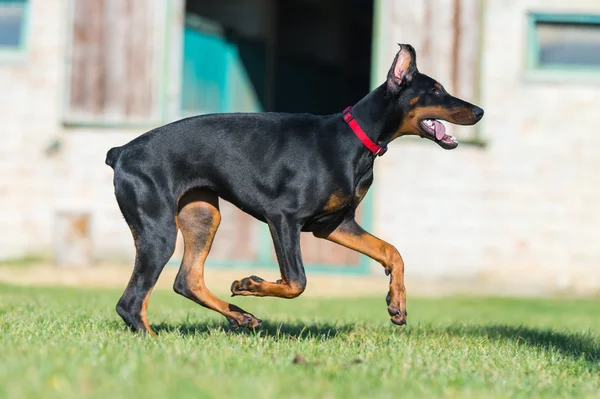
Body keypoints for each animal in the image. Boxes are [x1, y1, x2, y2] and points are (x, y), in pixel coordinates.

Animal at [105, 45, 486, 336]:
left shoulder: (334, 225)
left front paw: (397, 303)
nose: (480, 111)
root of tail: (121, 152)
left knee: (187, 280)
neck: (355, 140)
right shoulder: (283, 217)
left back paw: (239, 316)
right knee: (130, 303)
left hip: (202, 215)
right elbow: (297, 281)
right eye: (435, 89)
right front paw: (249, 284)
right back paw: (159, 342)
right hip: (158, 229)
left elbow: (392, 251)